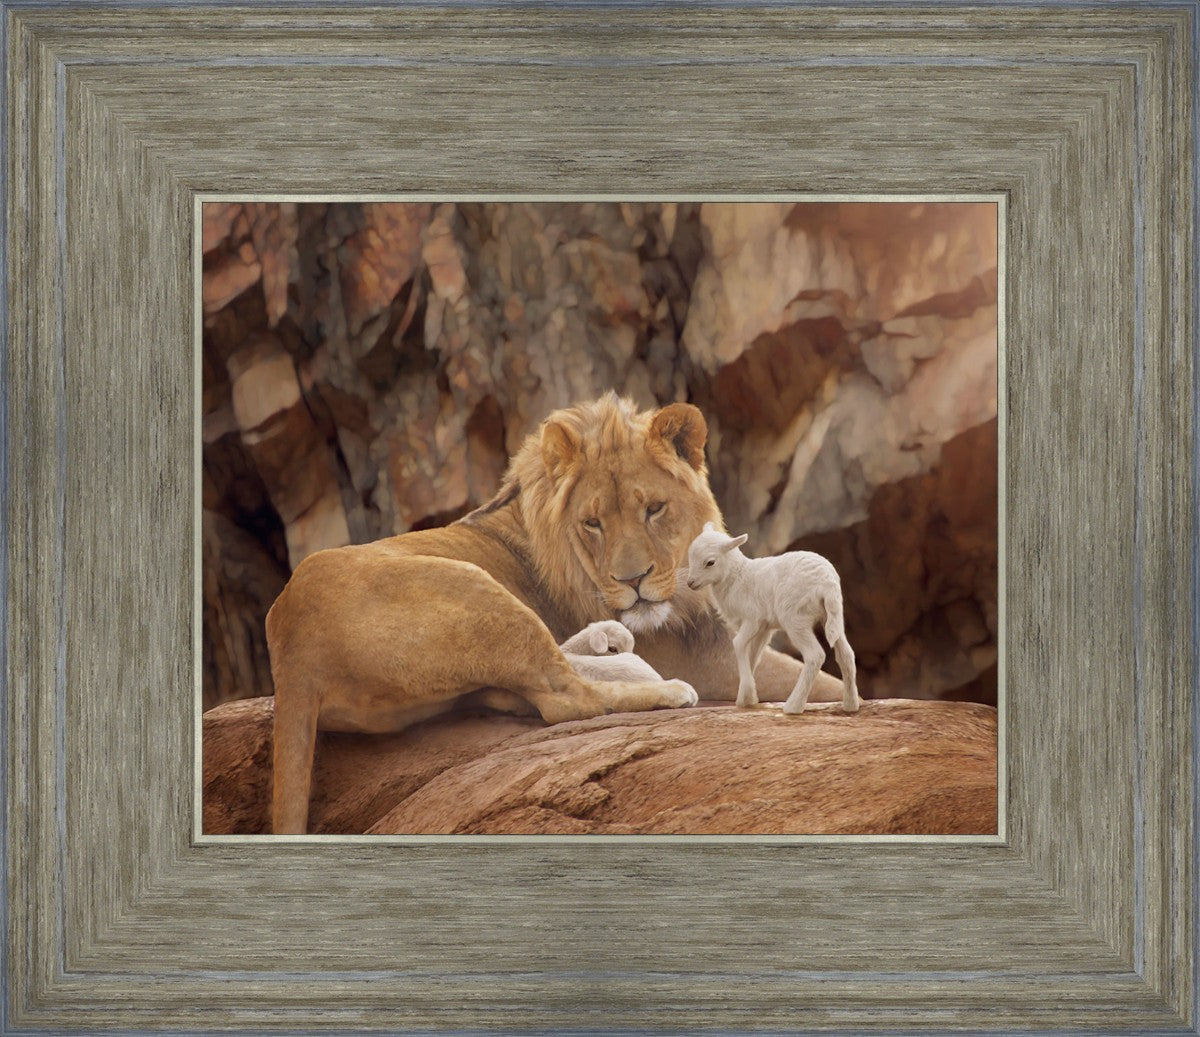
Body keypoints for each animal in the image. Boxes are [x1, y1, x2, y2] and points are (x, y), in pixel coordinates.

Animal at [685, 523, 860, 715]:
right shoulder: (764, 628)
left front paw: (747, 694)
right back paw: (850, 705)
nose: (690, 583)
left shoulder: (752, 619)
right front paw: (747, 697)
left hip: (795, 618)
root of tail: (827, 583)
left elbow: (738, 644)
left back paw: (793, 706)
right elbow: (753, 655)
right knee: (846, 654)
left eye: (710, 562)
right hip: (833, 616)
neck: (737, 577)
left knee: (815, 656)